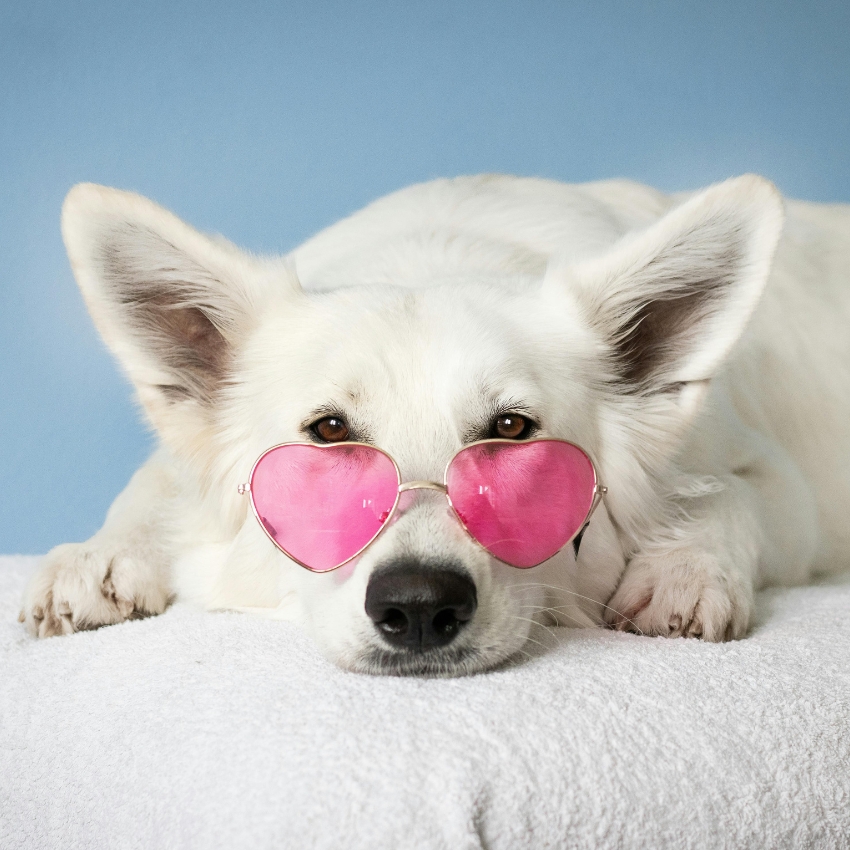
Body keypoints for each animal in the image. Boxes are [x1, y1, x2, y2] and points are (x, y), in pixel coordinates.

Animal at [19, 174, 848, 676]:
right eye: (329, 434)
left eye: (511, 430)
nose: (418, 606)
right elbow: (153, 483)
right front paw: (102, 554)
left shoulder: (780, 482)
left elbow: (727, 496)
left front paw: (685, 569)